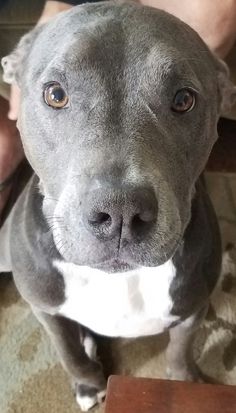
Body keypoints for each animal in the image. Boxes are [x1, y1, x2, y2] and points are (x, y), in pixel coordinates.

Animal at [0, 1, 236, 410]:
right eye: (55, 94)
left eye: (183, 100)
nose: (121, 212)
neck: (118, 279)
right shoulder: (45, 309)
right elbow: (69, 354)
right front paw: (89, 385)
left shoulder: (192, 308)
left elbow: (180, 351)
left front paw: (188, 383)